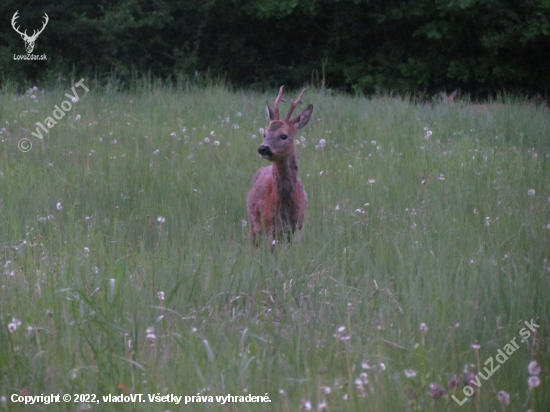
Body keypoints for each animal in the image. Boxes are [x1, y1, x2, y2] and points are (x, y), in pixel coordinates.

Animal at [247, 85, 312, 249]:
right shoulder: (269, 223)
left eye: (283, 135)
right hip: (253, 221)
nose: (263, 148)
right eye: (264, 133)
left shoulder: (297, 223)